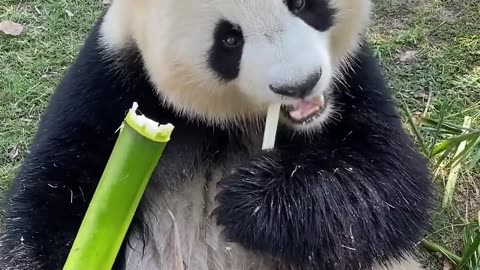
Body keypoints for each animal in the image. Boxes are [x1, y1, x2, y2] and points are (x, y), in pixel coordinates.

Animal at [0, 0, 434, 268]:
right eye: (229, 39)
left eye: (300, 4)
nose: (300, 84)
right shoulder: (112, 78)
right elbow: (49, 196)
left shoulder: (350, 78)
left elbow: (389, 179)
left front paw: (251, 200)